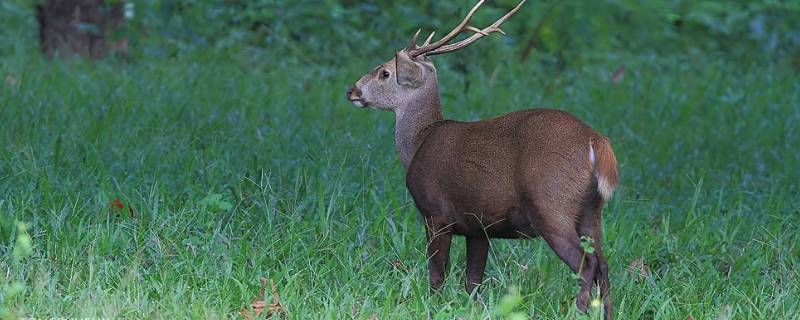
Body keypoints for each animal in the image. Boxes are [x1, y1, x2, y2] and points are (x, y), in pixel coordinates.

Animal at [346, 1, 620, 318]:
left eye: (385, 73)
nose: (352, 90)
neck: (418, 143)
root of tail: (595, 140)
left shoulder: (436, 212)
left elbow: (437, 272)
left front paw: (430, 305)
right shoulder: (478, 226)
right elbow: (473, 280)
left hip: (550, 203)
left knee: (586, 263)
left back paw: (578, 310)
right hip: (591, 210)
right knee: (603, 265)